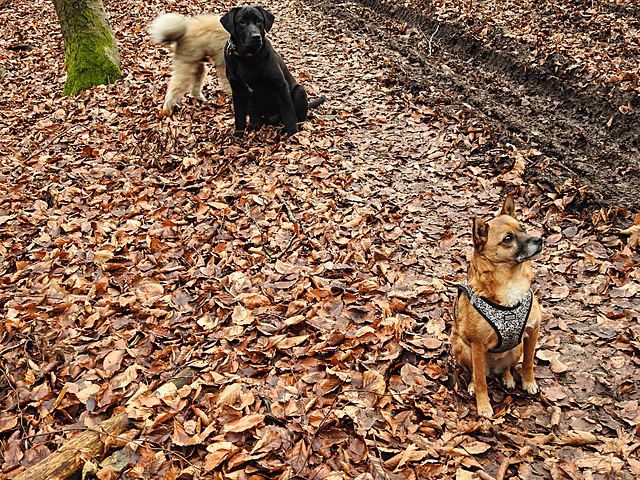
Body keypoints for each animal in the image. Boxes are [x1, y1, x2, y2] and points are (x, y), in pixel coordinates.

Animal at [220, 5, 324, 136]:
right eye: (242, 22)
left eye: (259, 21)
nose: (256, 37)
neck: (247, 58)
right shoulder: (237, 90)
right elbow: (239, 117)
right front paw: (237, 136)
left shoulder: (281, 86)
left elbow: (288, 115)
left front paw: (292, 135)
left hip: (299, 91)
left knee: (297, 118)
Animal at [450, 193, 544, 418]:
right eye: (507, 239)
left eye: (523, 227)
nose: (539, 239)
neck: (510, 280)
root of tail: (493, 368)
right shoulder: (477, 345)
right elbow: (481, 382)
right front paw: (484, 406)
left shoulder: (533, 331)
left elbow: (529, 362)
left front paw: (528, 382)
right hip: (463, 348)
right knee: (476, 374)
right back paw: (473, 384)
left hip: (517, 347)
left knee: (507, 367)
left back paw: (508, 377)